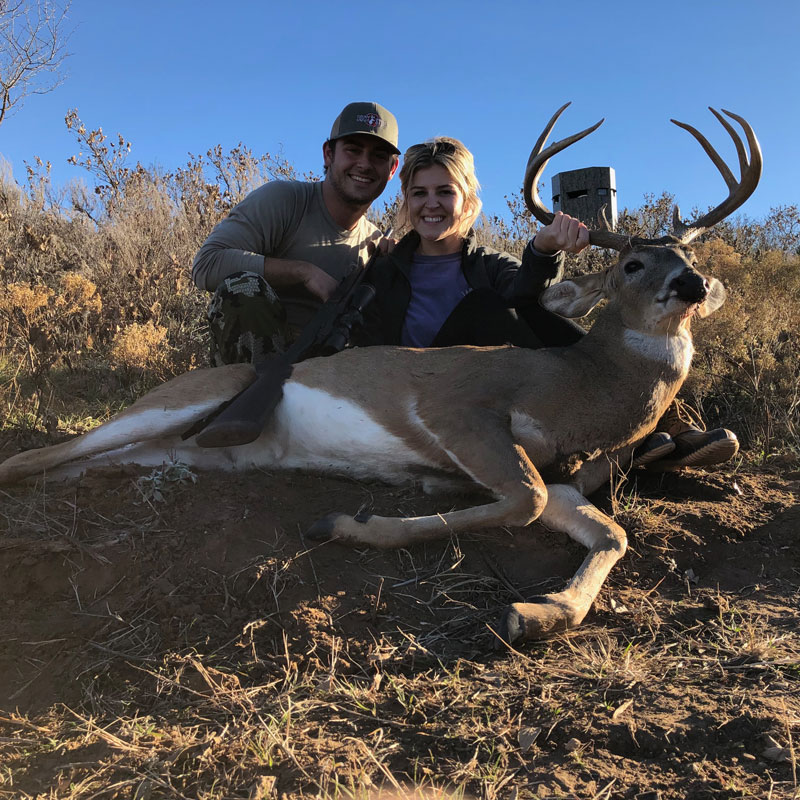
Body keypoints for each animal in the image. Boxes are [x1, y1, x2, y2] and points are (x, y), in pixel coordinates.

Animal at [0, 105, 761, 645]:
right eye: (633, 264)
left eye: (688, 258)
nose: (693, 285)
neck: (573, 386)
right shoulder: (459, 411)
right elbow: (526, 500)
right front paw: (346, 522)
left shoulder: (560, 475)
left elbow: (609, 533)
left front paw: (537, 612)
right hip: (179, 401)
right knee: (35, 455)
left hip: (180, 449)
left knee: (88, 464)